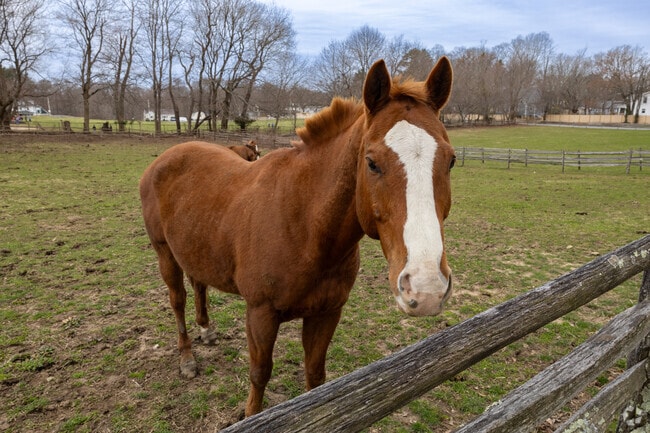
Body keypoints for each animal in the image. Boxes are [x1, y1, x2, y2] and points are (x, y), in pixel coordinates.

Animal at [139, 57, 456, 417]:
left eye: (451, 161)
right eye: (372, 163)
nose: (426, 288)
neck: (305, 227)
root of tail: (166, 158)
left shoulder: (327, 313)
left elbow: (315, 375)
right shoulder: (260, 314)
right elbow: (260, 373)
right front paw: (251, 414)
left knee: (199, 284)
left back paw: (206, 330)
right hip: (165, 253)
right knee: (177, 300)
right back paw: (187, 358)